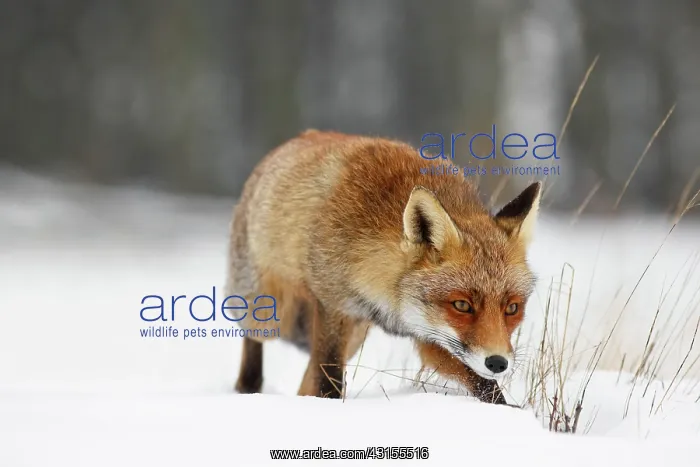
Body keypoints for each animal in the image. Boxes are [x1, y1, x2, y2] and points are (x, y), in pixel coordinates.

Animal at [225, 129, 541, 404]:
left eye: (512, 308)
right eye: (462, 305)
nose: (498, 362)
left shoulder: (431, 335)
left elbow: (486, 387)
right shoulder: (333, 307)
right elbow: (329, 383)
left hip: (352, 339)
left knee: (305, 384)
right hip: (270, 316)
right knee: (255, 348)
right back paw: (247, 388)